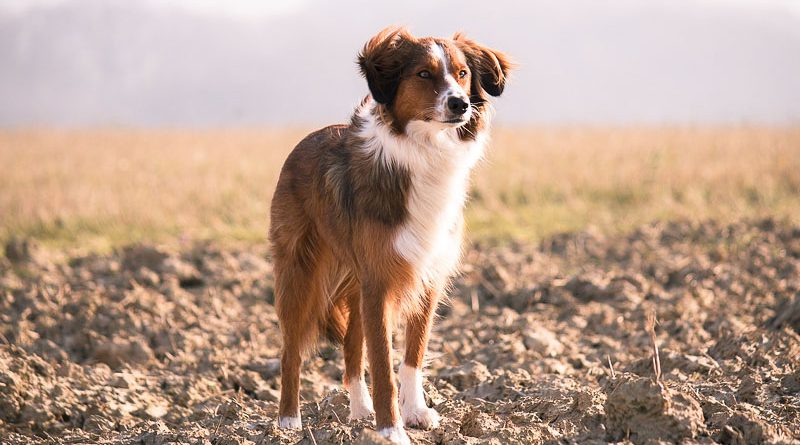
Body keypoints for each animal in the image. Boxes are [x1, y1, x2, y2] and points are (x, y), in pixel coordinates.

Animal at [270, 26, 512, 440]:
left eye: (463, 73)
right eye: (423, 74)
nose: (460, 104)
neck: (426, 150)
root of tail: (303, 143)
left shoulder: (426, 276)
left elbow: (412, 357)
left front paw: (415, 412)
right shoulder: (379, 282)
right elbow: (383, 362)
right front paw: (390, 430)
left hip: (355, 282)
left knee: (351, 347)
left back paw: (359, 410)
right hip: (300, 275)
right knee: (292, 352)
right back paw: (289, 421)